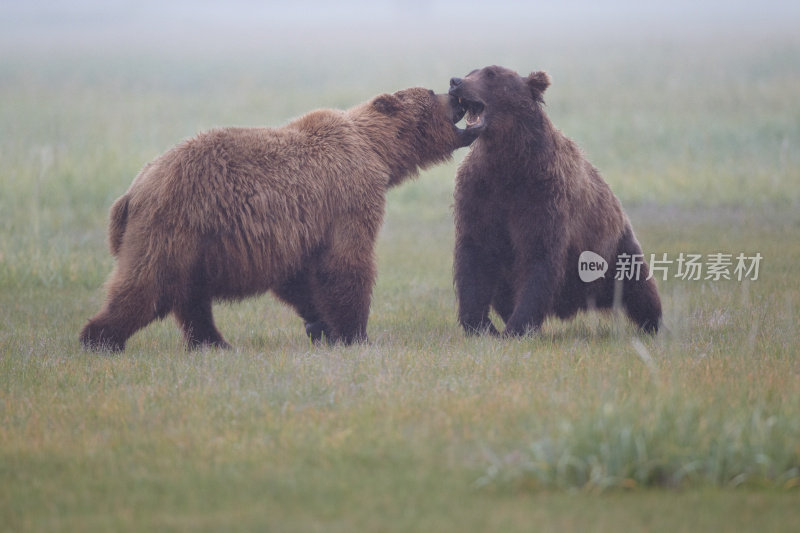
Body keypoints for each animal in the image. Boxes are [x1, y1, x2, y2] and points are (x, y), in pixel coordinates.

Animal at [81, 87, 484, 350]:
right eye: (432, 92)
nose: (458, 94)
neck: (378, 151)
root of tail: (133, 190)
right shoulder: (348, 196)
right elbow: (346, 263)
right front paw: (356, 334)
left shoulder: (299, 229)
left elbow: (300, 275)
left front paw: (320, 325)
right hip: (177, 222)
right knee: (148, 284)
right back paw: (99, 338)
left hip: (192, 242)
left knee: (189, 295)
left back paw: (213, 342)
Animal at [450, 64, 664, 334]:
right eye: (471, 71)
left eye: (491, 74)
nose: (456, 81)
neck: (508, 162)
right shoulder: (480, 193)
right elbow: (475, 254)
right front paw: (482, 325)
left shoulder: (542, 196)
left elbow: (539, 256)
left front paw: (516, 327)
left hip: (614, 249)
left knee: (639, 287)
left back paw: (652, 324)